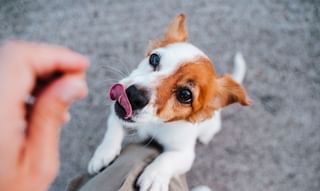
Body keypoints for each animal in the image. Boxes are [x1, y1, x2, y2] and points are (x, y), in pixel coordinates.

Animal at [87, 13, 250, 191]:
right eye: (154, 58)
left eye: (185, 94)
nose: (134, 95)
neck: (155, 123)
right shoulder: (116, 114)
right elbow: (113, 129)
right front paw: (103, 153)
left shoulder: (185, 154)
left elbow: (168, 158)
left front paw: (154, 176)